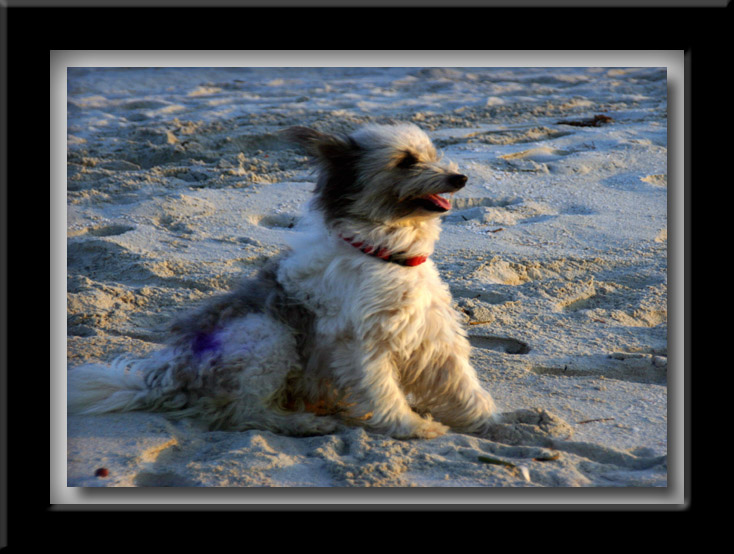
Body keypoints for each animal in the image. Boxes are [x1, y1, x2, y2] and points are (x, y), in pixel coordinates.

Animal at [67, 123, 500, 438]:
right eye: (407, 162)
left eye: (431, 156)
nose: (460, 178)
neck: (383, 254)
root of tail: (165, 381)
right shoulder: (362, 343)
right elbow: (383, 391)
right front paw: (411, 426)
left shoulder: (433, 335)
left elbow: (462, 385)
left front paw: (497, 424)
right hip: (266, 335)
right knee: (244, 413)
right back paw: (304, 423)